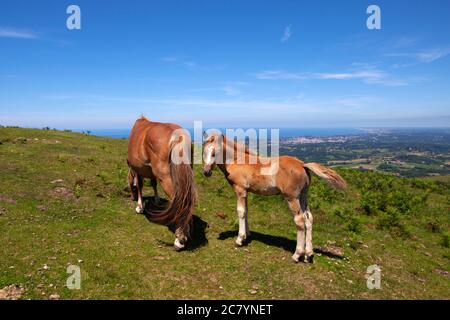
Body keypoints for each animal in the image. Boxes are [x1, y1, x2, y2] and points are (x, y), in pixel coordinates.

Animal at [127, 116, 196, 251]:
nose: (132, 198)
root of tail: (178, 136)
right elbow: (153, 183)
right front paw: (157, 200)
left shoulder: (138, 170)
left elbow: (140, 185)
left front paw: (140, 207)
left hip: (166, 178)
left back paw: (179, 239)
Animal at [202, 132, 346, 262]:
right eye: (204, 151)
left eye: (215, 152)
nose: (206, 172)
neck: (237, 160)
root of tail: (302, 165)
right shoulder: (247, 192)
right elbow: (246, 211)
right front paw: (248, 235)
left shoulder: (240, 190)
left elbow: (241, 212)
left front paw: (240, 239)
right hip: (303, 196)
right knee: (308, 218)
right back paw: (308, 254)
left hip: (292, 198)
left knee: (300, 220)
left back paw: (297, 255)